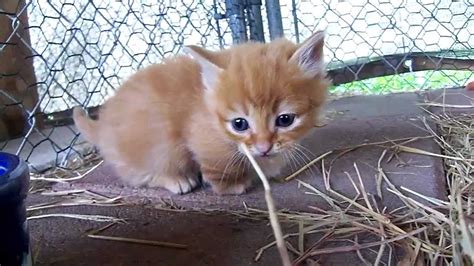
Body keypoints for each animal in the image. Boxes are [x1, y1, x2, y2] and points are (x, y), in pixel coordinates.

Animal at [73, 31, 330, 194]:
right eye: (239, 124)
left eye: (285, 120)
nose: (264, 147)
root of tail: (103, 126)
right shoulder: (204, 141)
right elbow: (219, 165)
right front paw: (231, 185)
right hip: (157, 144)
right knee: (139, 173)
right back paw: (177, 180)